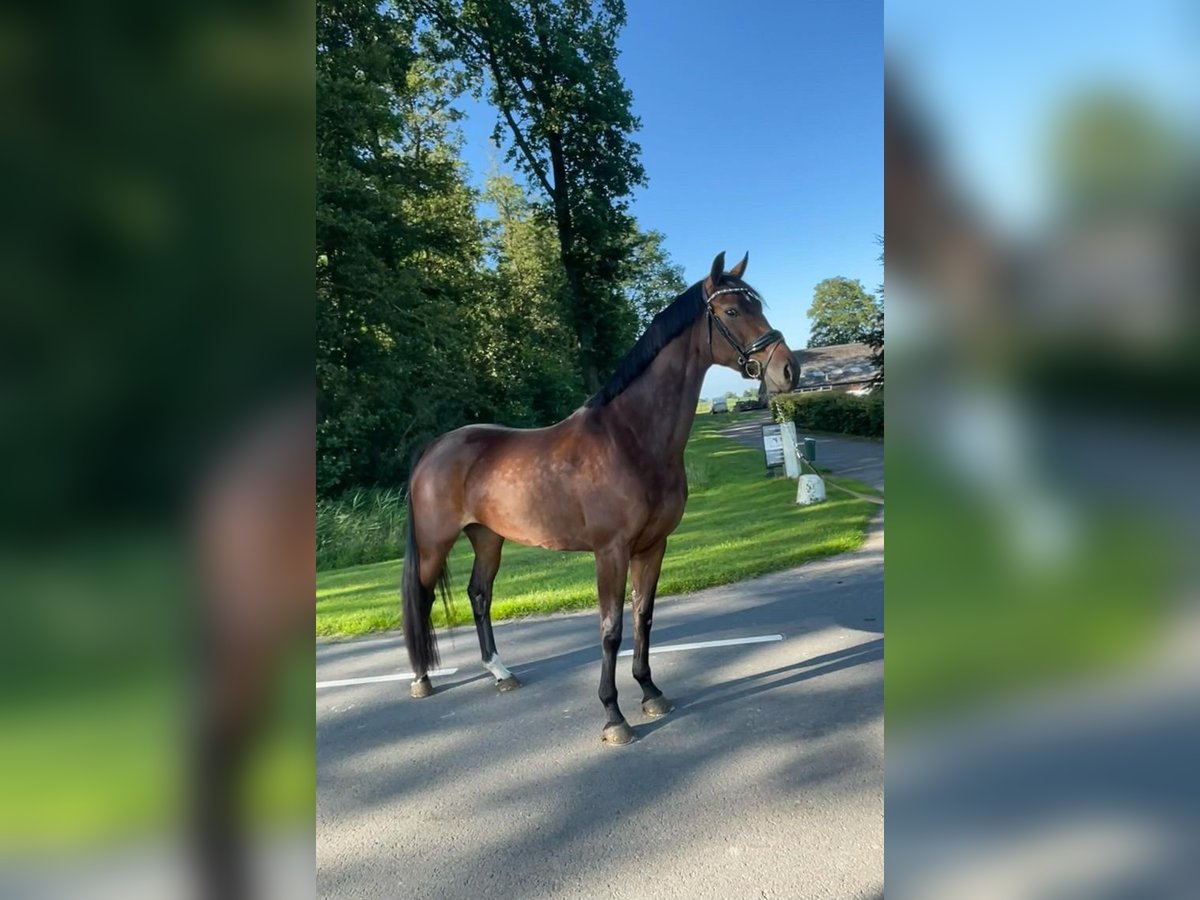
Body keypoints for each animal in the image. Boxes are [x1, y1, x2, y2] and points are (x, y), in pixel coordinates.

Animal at [403, 250, 796, 744]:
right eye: (730, 311)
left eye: (755, 305)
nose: (788, 370)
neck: (630, 437)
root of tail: (433, 449)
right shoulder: (611, 551)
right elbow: (611, 629)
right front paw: (614, 716)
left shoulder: (653, 546)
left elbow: (643, 617)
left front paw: (650, 692)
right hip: (434, 545)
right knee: (421, 600)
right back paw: (422, 679)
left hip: (488, 538)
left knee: (479, 594)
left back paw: (500, 672)